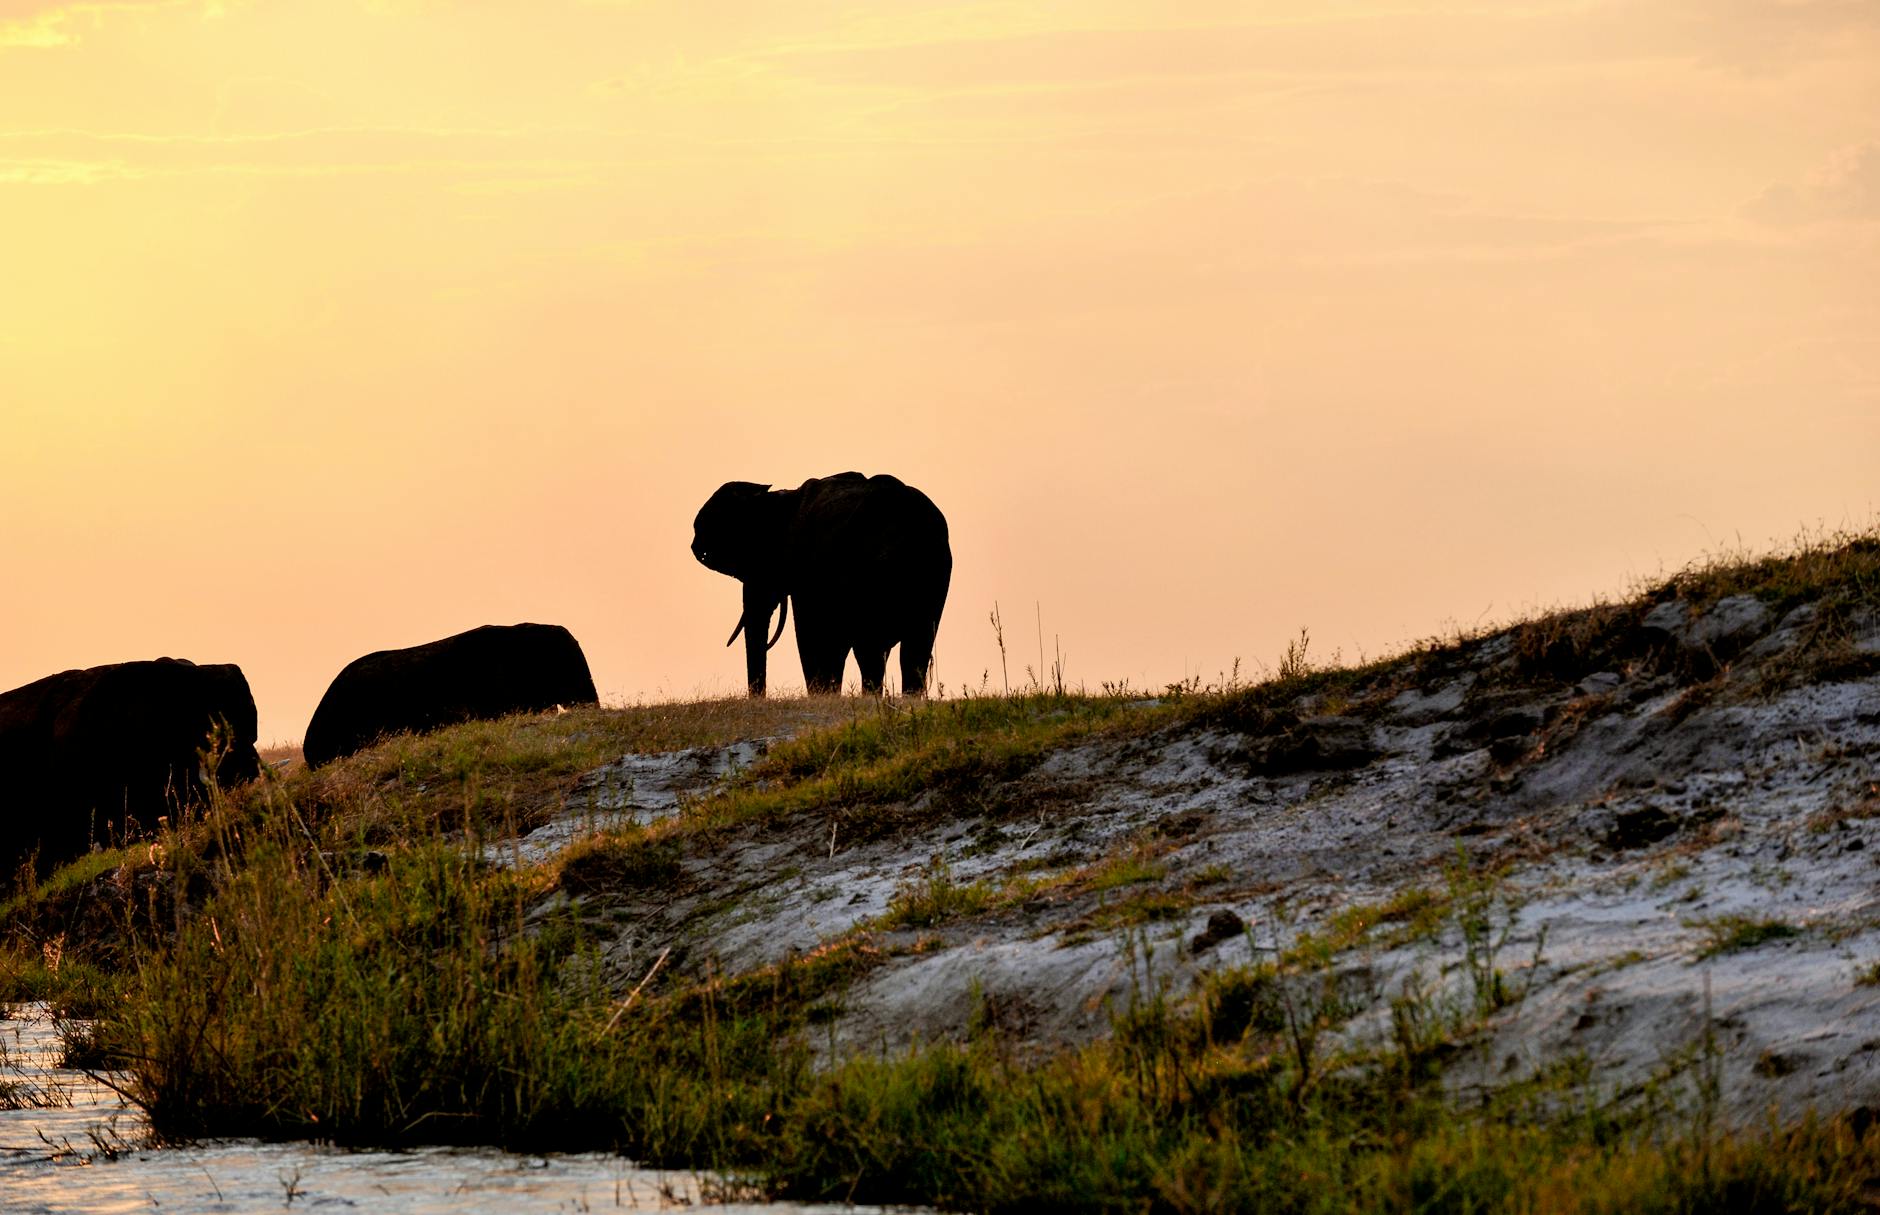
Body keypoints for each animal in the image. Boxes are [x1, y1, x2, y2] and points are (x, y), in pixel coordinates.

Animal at [692, 472, 952, 697]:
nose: (758, 698)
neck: (779, 499)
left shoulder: (805, 570)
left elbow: (811, 632)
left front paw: (821, 695)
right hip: (933, 573)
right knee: (914, 647)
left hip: (874, 573)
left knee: (871, 647)